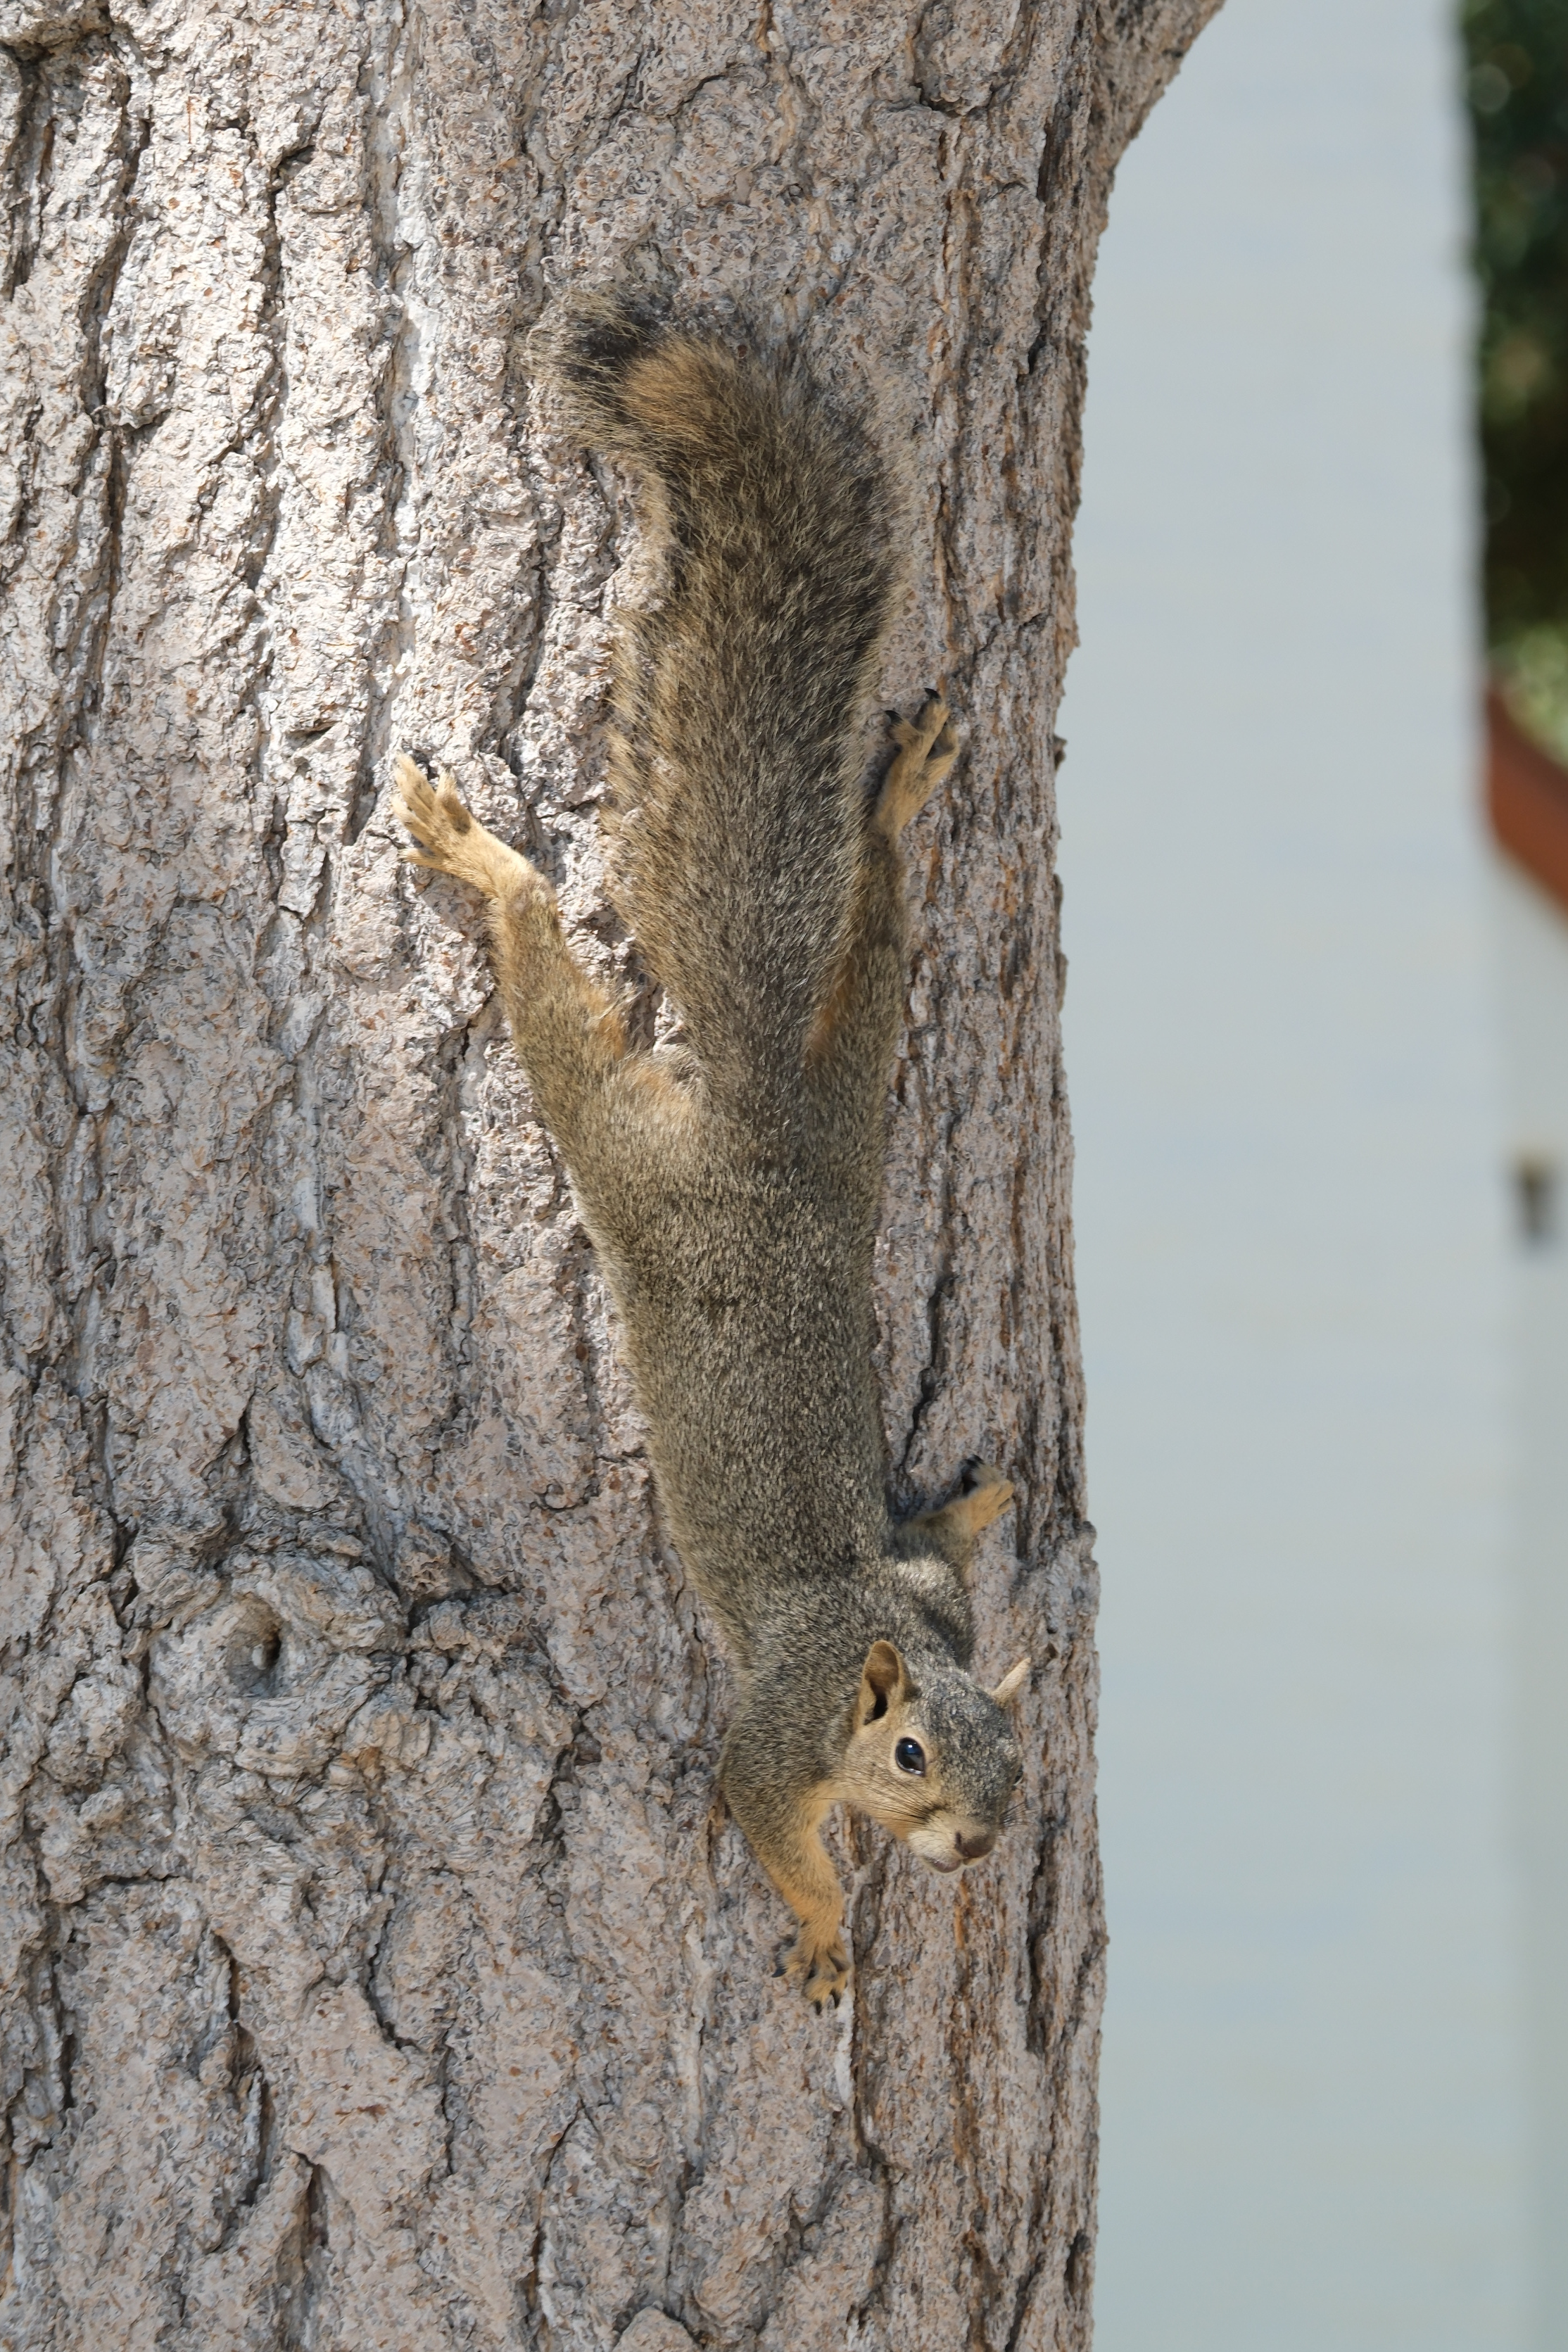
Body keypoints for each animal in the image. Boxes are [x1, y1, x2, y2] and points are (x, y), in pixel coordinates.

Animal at [390, 284, 1030, 1994]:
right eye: (910, 1762)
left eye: (1020, 1771)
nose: (979, 1851)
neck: (879, 1655)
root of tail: (757, 1138)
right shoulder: (770, 1737)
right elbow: (773, 1834)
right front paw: (819, 1933)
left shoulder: (920, 1598)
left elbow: (933, 1543)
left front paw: (969, 1506)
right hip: (631, 1156)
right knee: (552, 989)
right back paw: (483, 861)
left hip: (853, 1113)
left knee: (872, 950)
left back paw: (892, 804)